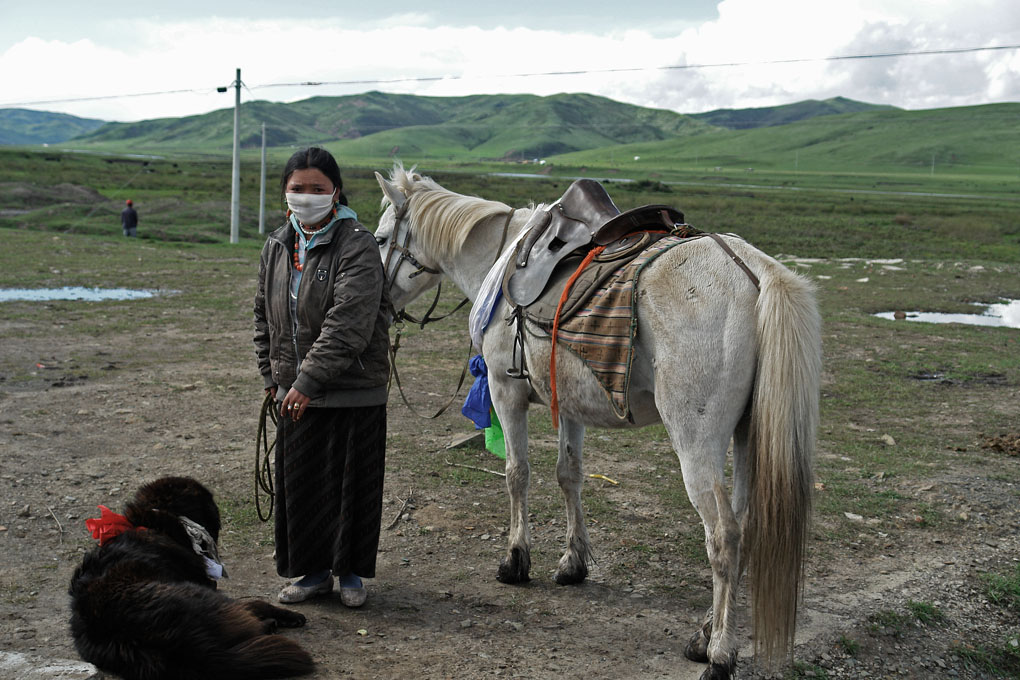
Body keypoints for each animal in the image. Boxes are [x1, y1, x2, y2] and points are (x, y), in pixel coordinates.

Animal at [69, 479, 312, 680]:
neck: (158, 524)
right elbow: (256, 602)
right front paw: (288, 615)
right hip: (203, 595)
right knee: (250, 609)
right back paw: (274, 622)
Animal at [375, 166, 820, 680]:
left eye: (381, 237)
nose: (380, 305)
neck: (502, 259)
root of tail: (755, 271)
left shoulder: (507, 394)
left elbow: (516, 474)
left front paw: (516, 560)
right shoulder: (570, 404)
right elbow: (569, 476)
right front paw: (573, 564)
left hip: (697, 441)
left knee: (724, 536)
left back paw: (719, 655)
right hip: (748, 435)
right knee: (745, 526)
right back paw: (703, 634)